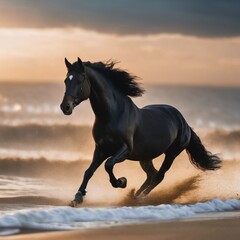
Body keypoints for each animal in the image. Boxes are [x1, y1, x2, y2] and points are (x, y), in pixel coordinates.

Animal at [60, 57, 221, 206]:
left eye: (79, 80)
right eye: (66, 80)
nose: (65, 107)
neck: (112, 115)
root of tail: (184, 121)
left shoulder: (124, 150)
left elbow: (108, 164)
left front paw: (122, 182)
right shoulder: (100, 149)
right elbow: (89, 171)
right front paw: (77, 197)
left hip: (172, 153)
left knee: (159, 176)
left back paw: (140, 197)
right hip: (145, 157)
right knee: (151, 175)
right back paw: (135, 195)